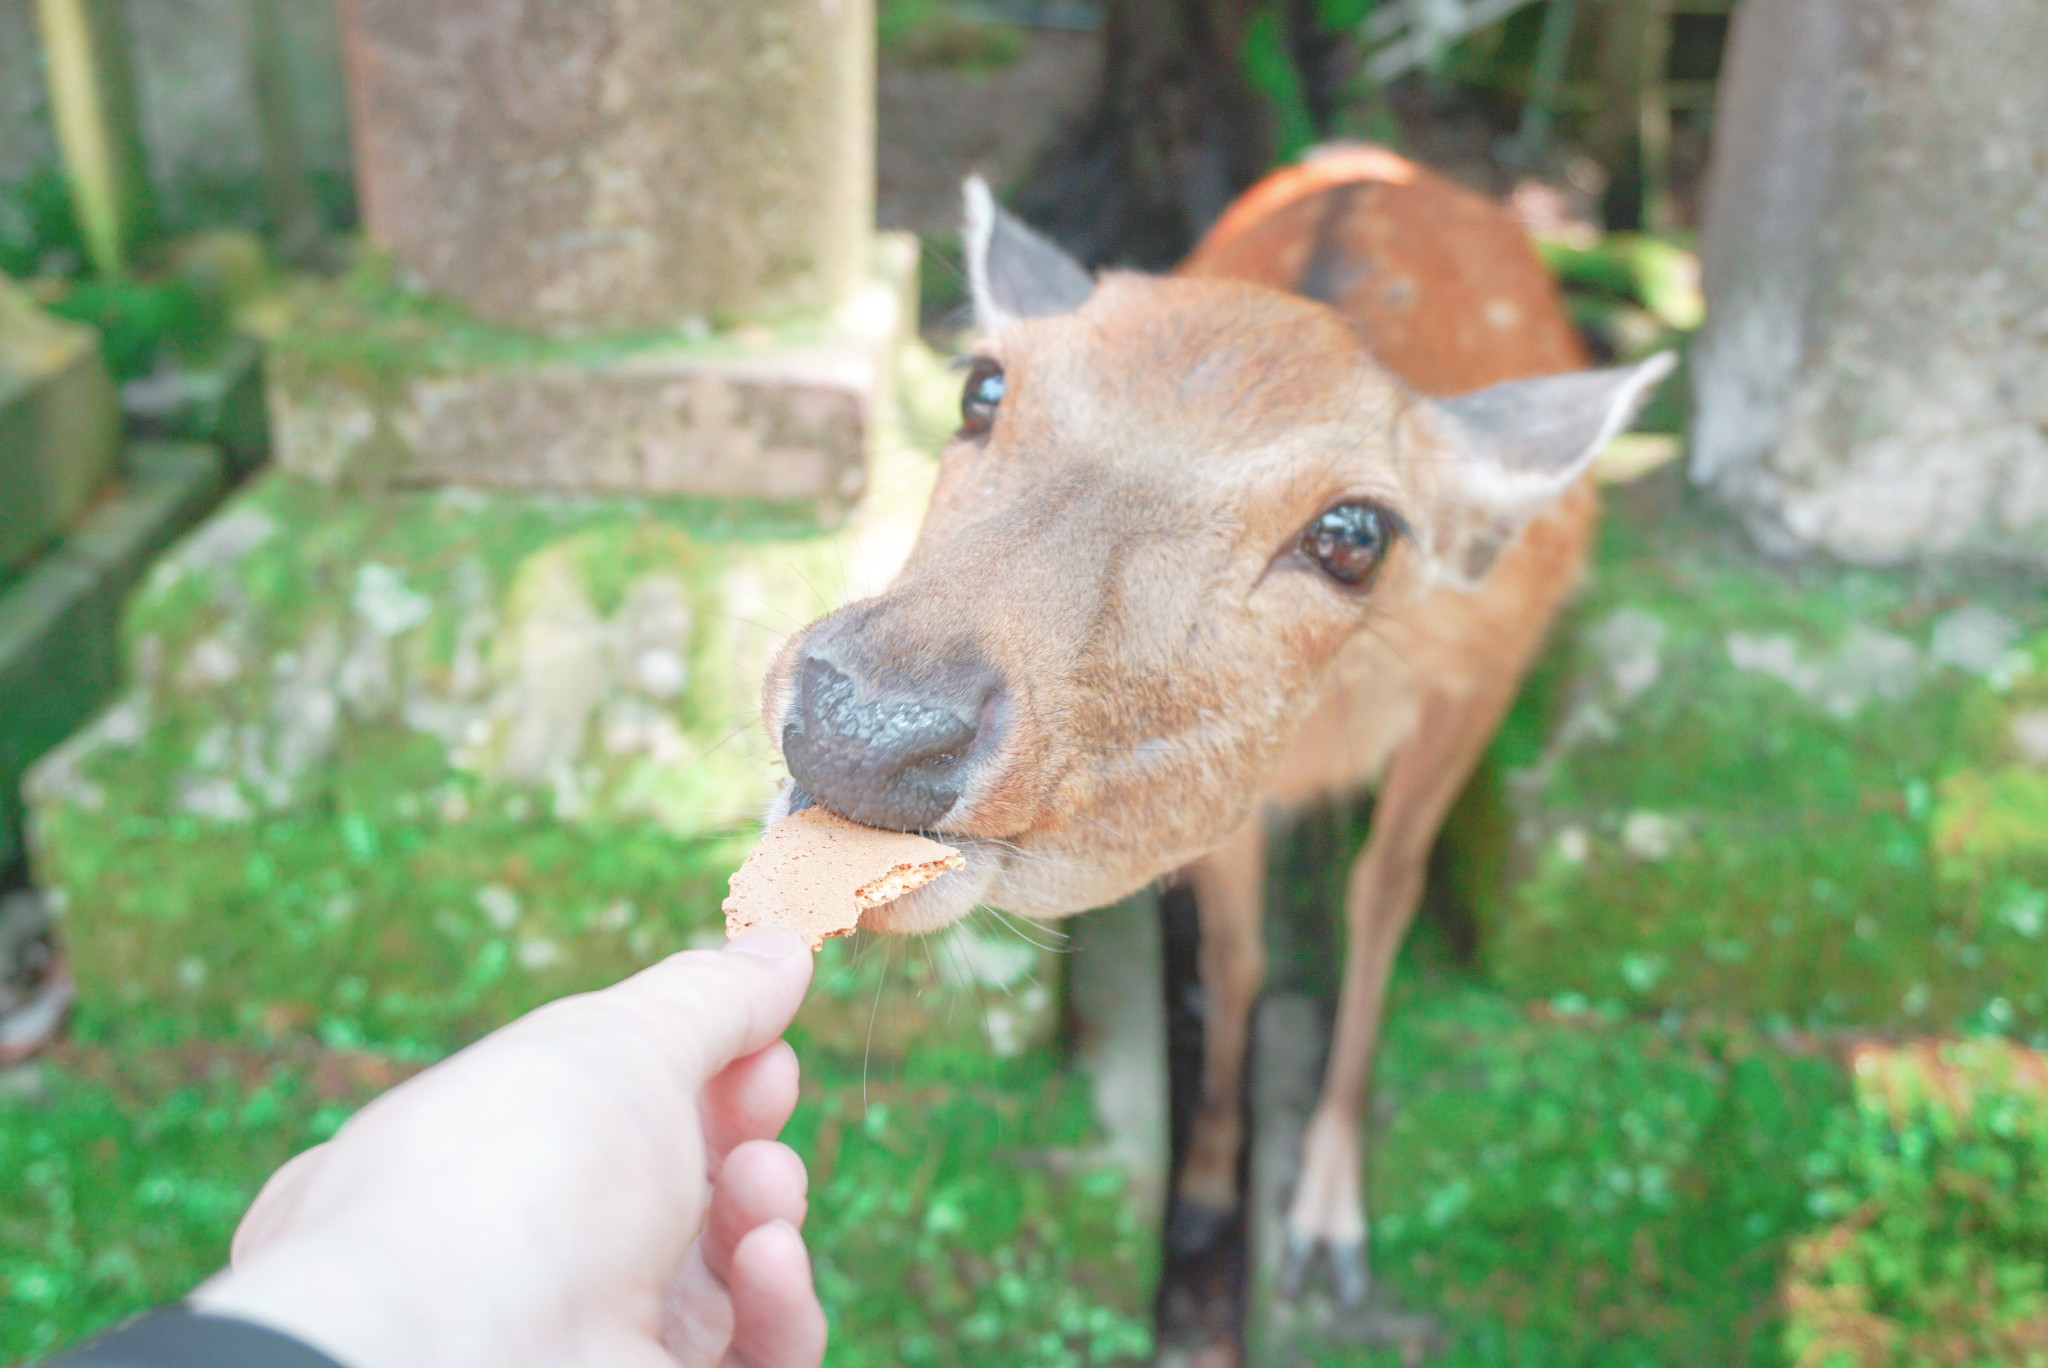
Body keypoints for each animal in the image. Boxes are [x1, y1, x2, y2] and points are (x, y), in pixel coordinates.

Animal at [761, 144, 1671, 1310]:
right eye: (981, 387)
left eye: (1354, 535)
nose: (862, 725)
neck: (1331, 724)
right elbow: (1234, 955)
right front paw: (1199, 1197)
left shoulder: (1480, 674)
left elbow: (1385, 892)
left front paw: (1326, 1230)